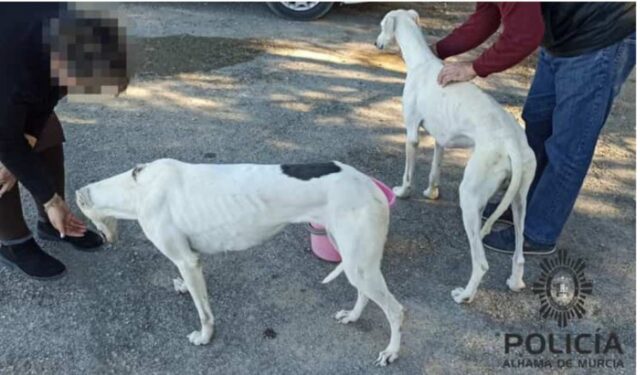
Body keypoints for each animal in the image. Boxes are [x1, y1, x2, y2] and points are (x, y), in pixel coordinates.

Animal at [76, 159, 404, 368]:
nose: (102, 240)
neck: (139, 188)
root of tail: (371, 186)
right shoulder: (189, 259)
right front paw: (181, 286)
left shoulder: (187, 260)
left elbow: (204, 313)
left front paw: (204, 337)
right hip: (352, 256)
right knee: (363, 292)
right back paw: (353, 316)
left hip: (359, 262)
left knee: (396, 310)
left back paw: (391, 352)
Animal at [376, 9, 536, 306]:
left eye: (381, 26)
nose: (376, 43)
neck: (422, 62)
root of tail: (511, 142)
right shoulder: (441, 139)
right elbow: (434, 168)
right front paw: (431, 192)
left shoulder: (412, 132)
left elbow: (408, 171)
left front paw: (403, 191)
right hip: (520, 200)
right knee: (519, 253)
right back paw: (515, 281)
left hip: (471, 198)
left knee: (481, 263)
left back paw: (465, 295)